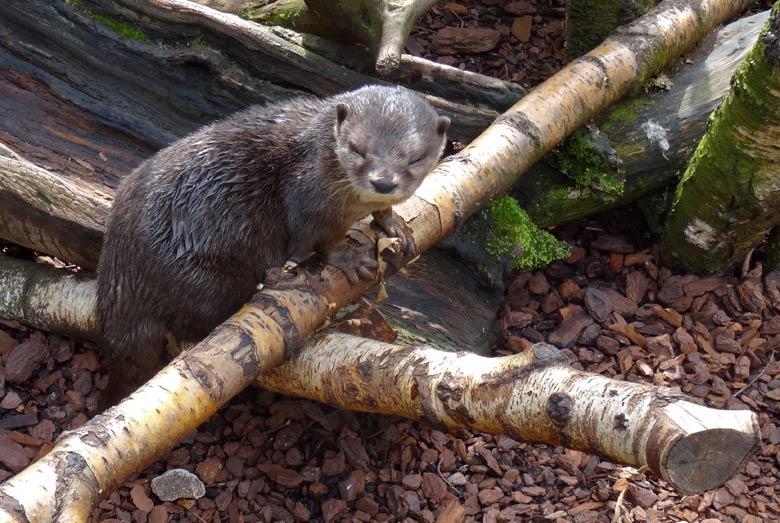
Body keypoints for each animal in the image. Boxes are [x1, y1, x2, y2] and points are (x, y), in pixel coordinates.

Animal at [96, 86, 450, 406]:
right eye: (356, 148)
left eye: (416, 157)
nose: (383, 182)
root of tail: (120, 276)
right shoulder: (309, 197)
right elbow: (323, 241)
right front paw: (351, 260)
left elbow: (384, 213)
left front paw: (395, 224)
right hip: (202, 276)